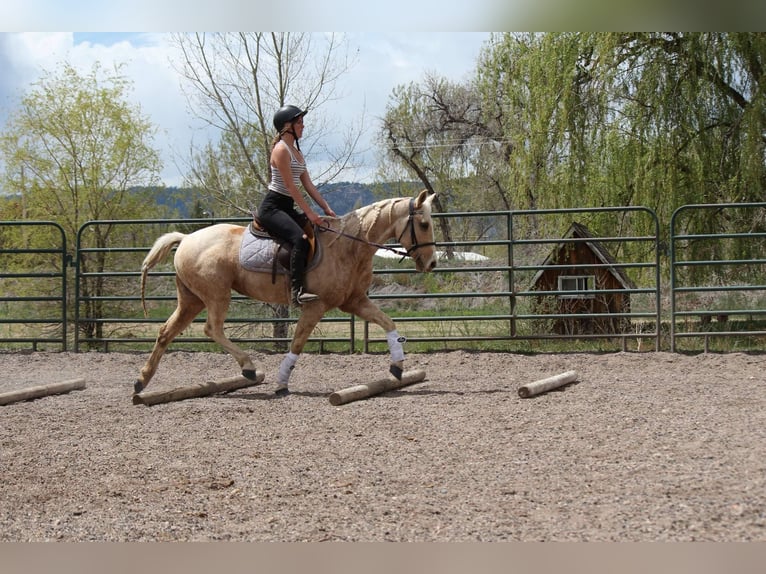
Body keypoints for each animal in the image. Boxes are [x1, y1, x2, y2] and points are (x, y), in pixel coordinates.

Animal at [134, 189, 438, 396]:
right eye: (424, 224)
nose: (432, 263)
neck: (347, 247)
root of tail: (186, 238)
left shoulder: (355, 301)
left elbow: (388, 322)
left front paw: (398, 366)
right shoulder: (315, 306)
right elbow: (298, 343)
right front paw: (281, 382)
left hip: (192, 300)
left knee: (166, 332)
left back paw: (141, 381)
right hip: (216, 295)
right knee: (212, 329)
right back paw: (248, 367)